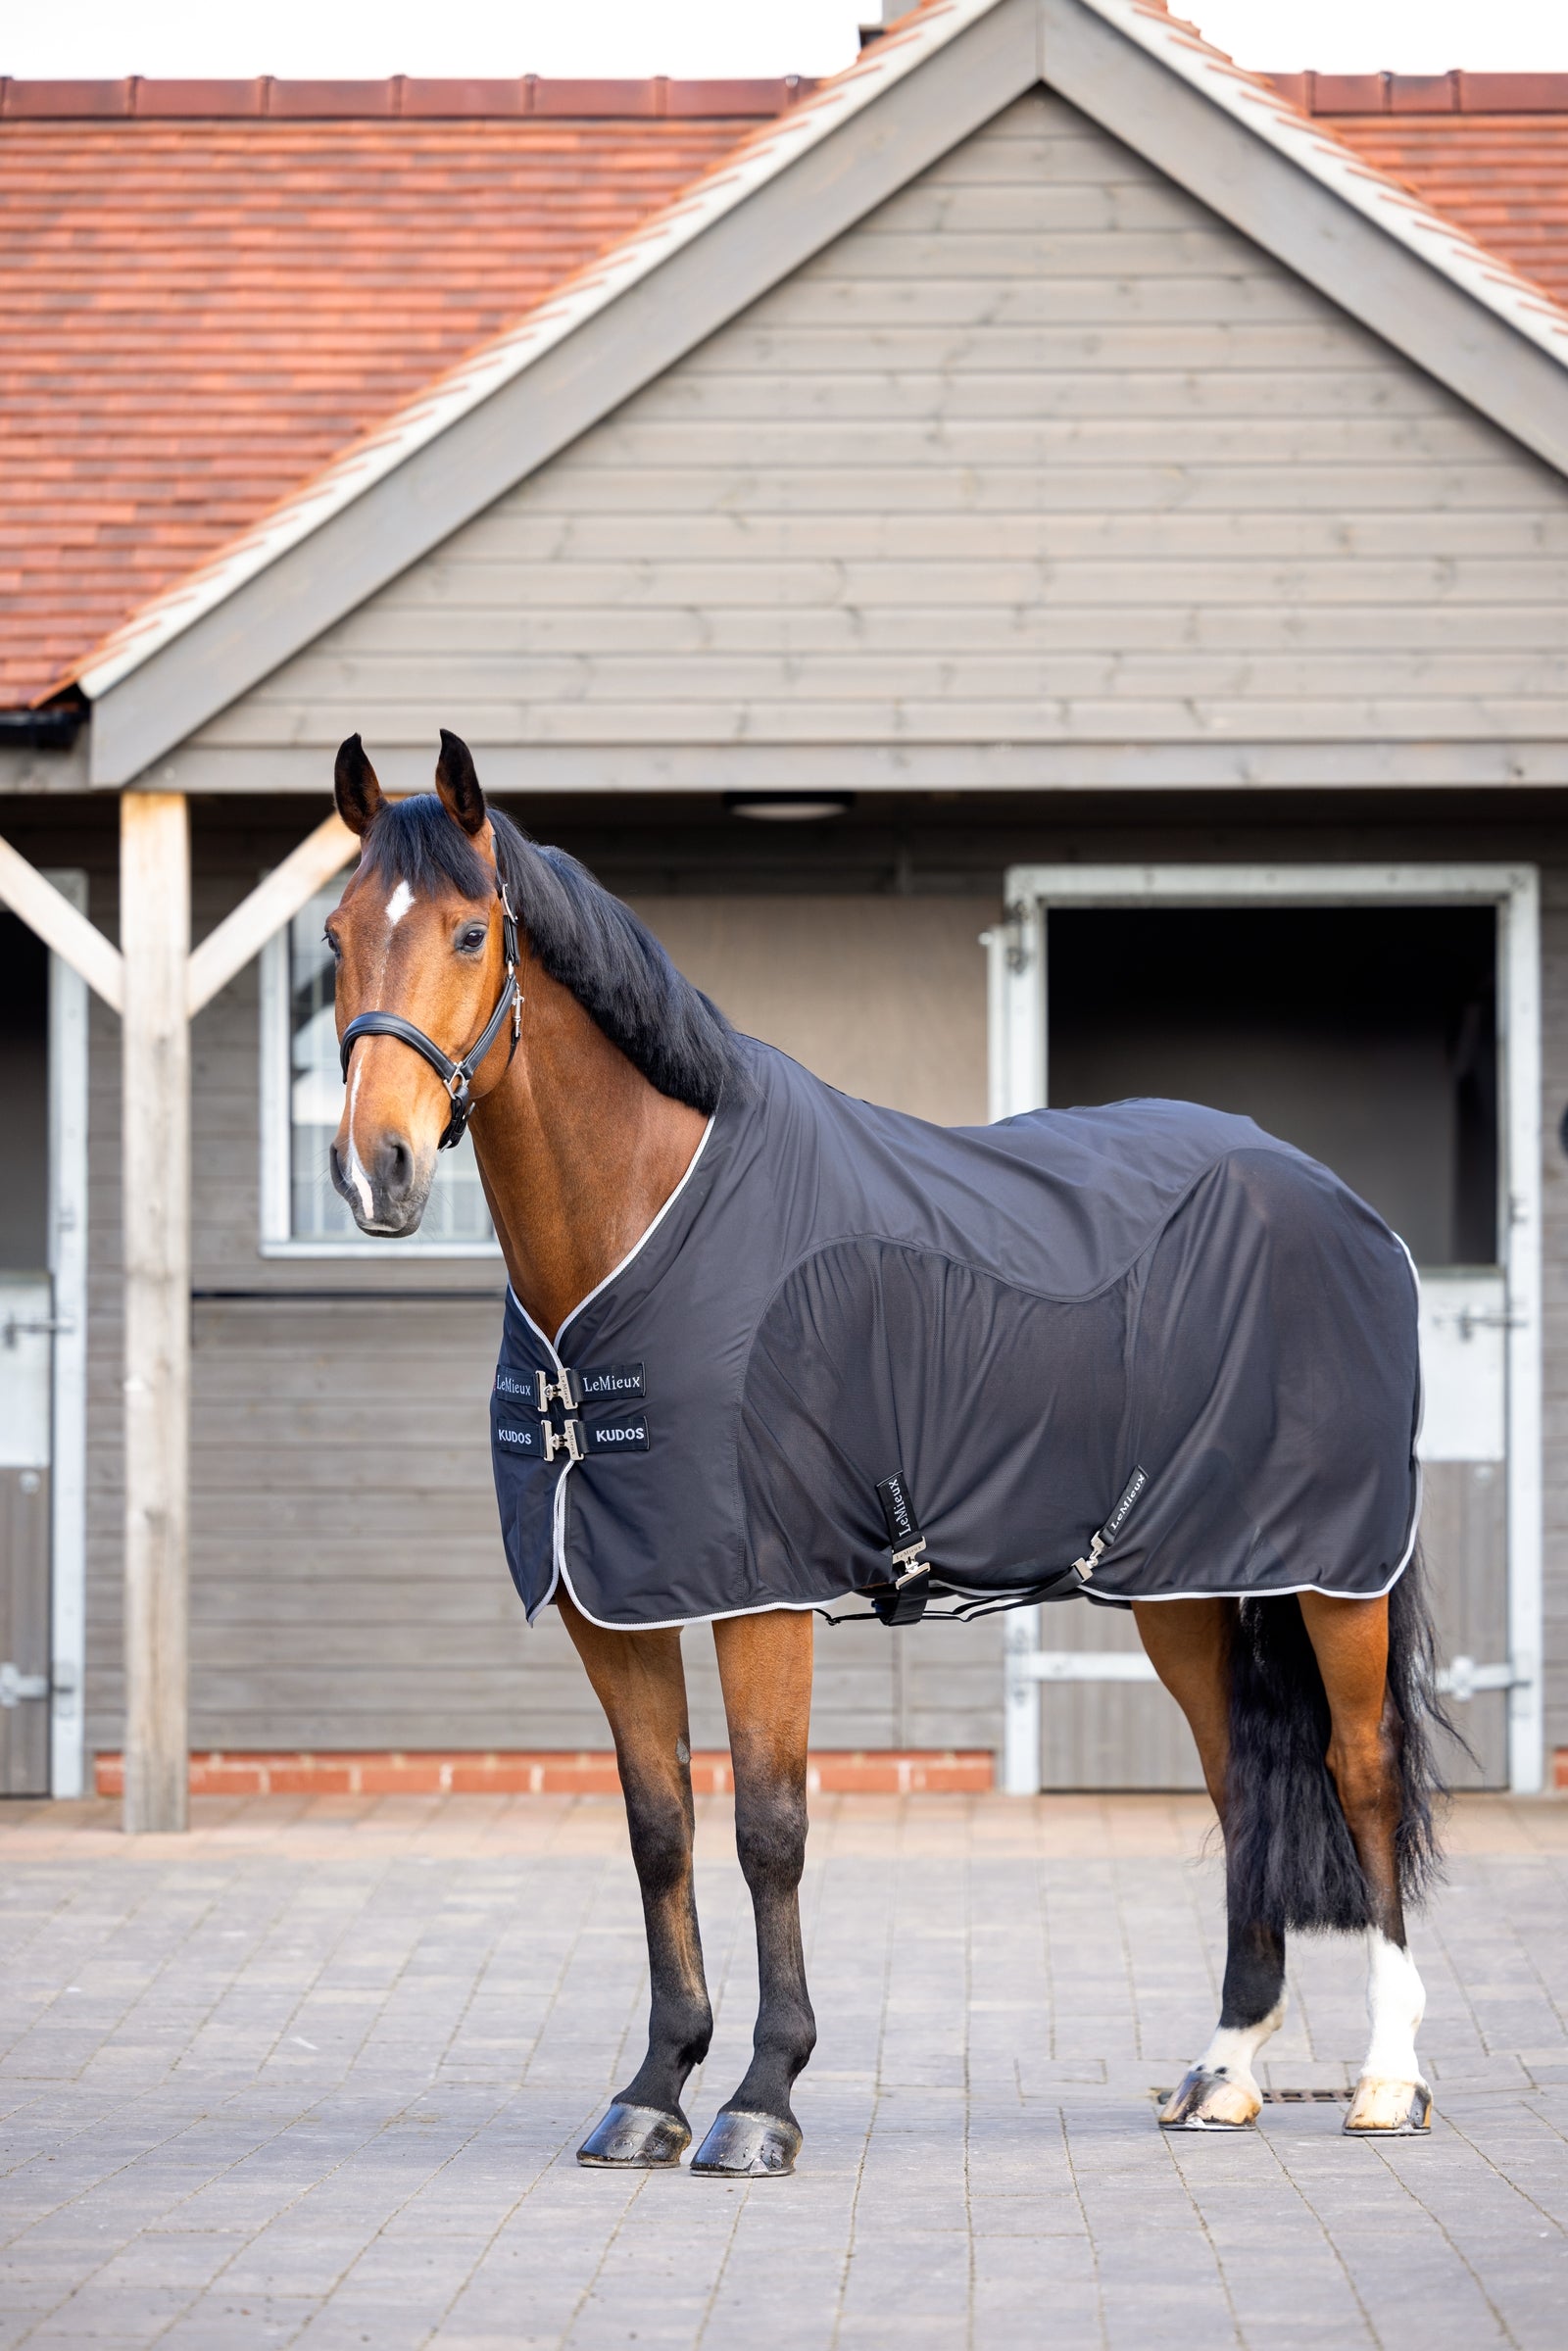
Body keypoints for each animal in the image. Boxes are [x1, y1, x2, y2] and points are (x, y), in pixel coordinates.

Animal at [322, 728, 1448, 2176]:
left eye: (470, 932)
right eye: (337, 932)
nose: (378, 1165)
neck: (645, 1220)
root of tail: (1328, 1194)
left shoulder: (757, 1592)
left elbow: (769, 1827)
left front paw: (761, 2095)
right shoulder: (609, 1596)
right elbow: (657, 1829)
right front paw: (653, 2085)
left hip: (1333, 1573)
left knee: (1359, 1774)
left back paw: (1387, 2078)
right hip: (1188, 1586)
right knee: (1237, 1781)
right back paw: (1224, 2068)